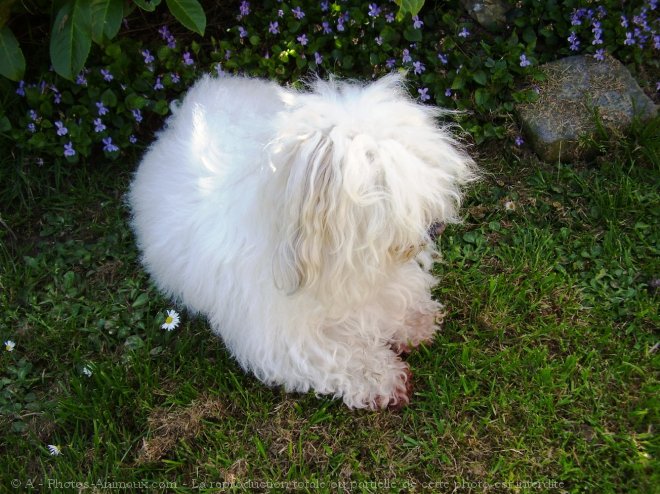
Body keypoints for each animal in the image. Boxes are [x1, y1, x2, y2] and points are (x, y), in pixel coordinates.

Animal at [129, 74, 476, 410]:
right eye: (382, 182)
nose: (436, 227)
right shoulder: (286, 340)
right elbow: (342, 358)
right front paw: (383, 380)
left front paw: (415, 321)